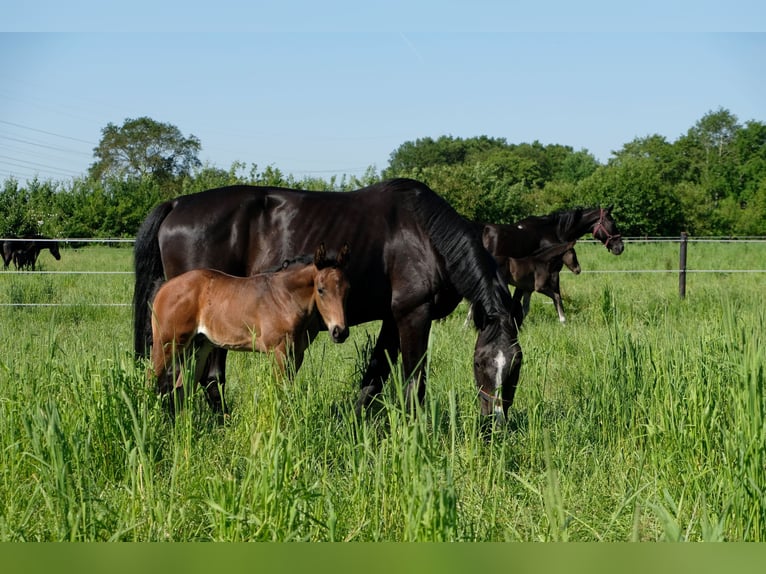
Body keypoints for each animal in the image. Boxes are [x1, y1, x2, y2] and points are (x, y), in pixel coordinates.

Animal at [149, 243, 352, 410]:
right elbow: (280, 392)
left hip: (197, 348)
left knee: (182, 389)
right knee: (151, 379)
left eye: (347, 289)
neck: (284, 297)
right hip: (167, 344)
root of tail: (164, 288)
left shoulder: (297, 354)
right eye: (321, 289)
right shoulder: (278, 352)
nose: (340, 332)